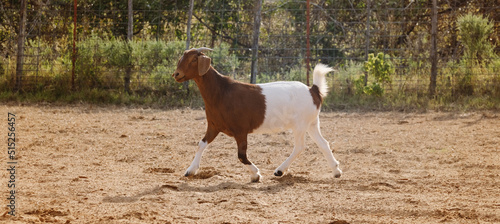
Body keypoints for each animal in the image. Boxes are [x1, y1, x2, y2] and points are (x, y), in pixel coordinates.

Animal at [171, 47, 340, 182]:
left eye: (194, 59)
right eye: (181, 58)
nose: (176, 74)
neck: (222, 92)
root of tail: (313, 90)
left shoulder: (240, 130)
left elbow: (241, 155)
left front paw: (256, 175)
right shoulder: (214, 126)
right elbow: (201, 144)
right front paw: (190, 170)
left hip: (300, 124)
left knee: (299, 146)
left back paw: (279, 171)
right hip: (311, 123)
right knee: (323, 143)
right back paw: (336, 171)